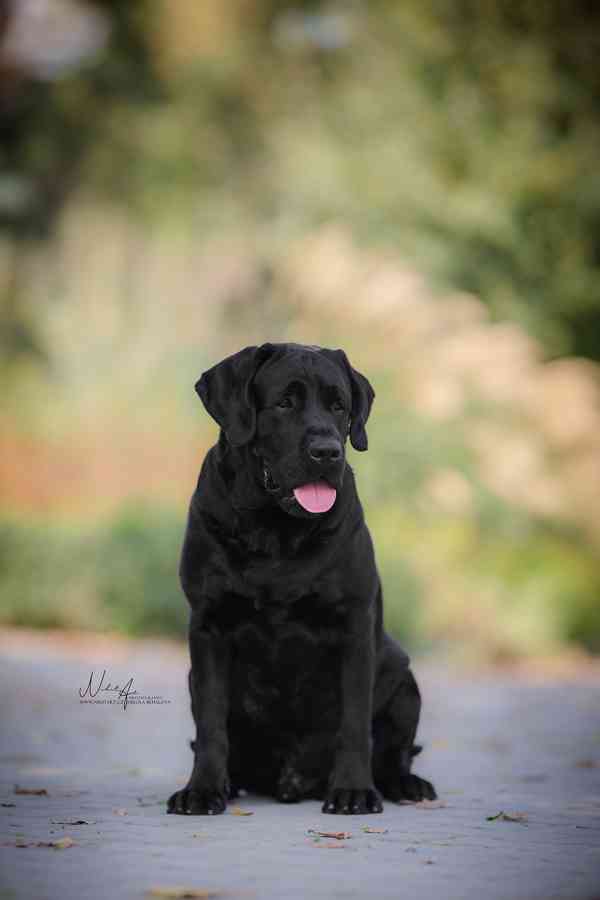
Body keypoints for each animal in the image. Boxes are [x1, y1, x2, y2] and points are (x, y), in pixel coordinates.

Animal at [168, 340, 436, 816]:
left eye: (339, 406)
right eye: (284, 403)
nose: (327, 451)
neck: (275, 530)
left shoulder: (354, 627)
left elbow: (354, 723)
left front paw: (353, 791)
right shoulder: (209, 625)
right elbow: (211, 723)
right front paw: (202, 789)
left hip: (402, 675)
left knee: (395, 751)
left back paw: (406, 784)